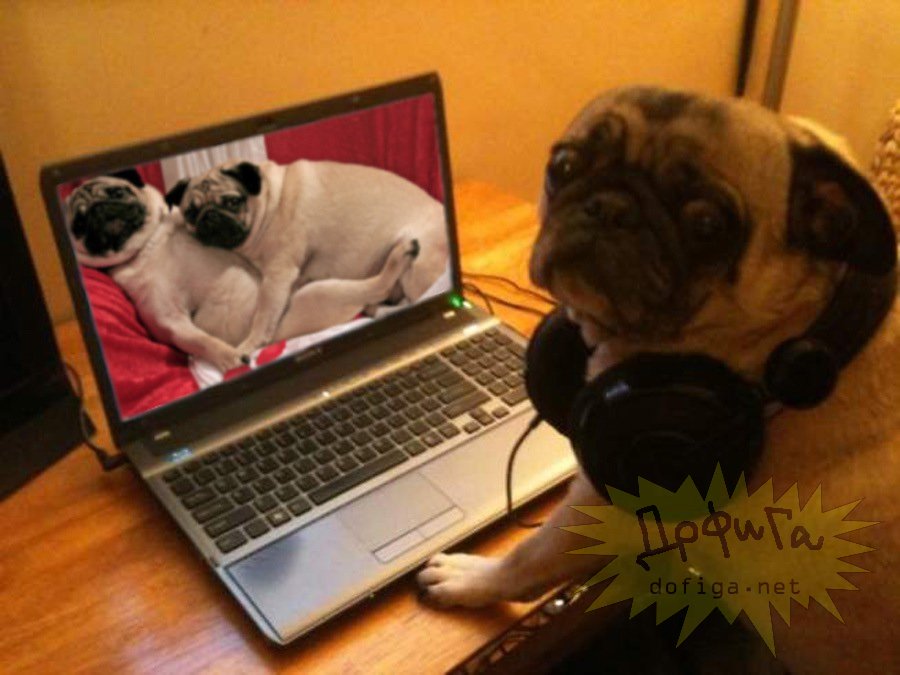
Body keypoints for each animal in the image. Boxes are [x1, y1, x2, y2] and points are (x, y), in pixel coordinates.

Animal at [66, 171, 420, 372]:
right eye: (79, 224)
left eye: (117, 192)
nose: (99, 210)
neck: (150, 243)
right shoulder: (167, 318)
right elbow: (200, 340)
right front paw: (231, 357)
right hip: (321, 293)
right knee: (375, 286)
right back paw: (401, 254)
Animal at [164, 159, 450, 368]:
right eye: (190, 212)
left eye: (233, 202)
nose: (209, 217)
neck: (270, 202)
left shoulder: (278, 274)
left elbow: (263, 315)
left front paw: (250, 343)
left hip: (415, 269)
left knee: (413, 297)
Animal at [416, 88, 900, 673]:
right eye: (564, 167)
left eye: (707, 224)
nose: (611, 207)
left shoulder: (599, 505)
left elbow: (525, 561)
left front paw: (470, 579)